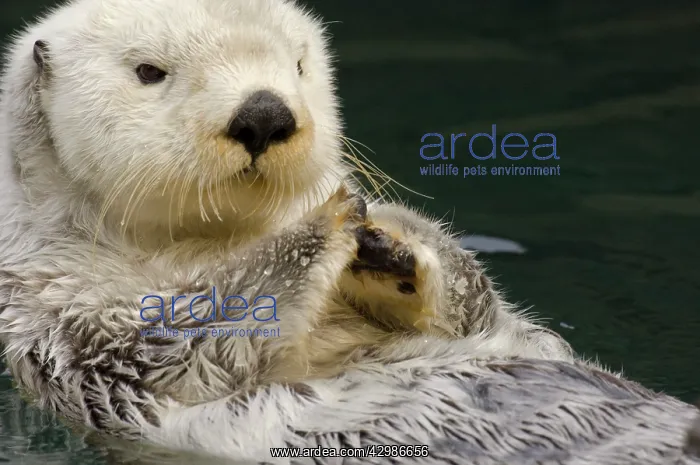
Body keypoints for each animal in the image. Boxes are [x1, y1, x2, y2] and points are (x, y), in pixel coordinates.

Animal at [1, 0, 696, 463]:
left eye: (298, 65)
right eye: (149, 71)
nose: (264, 113)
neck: (208, 244)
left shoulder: (488, 323)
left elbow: (476, 306)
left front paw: (389, 243)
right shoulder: (69, 326)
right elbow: (186, 344)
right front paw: (326, 221)